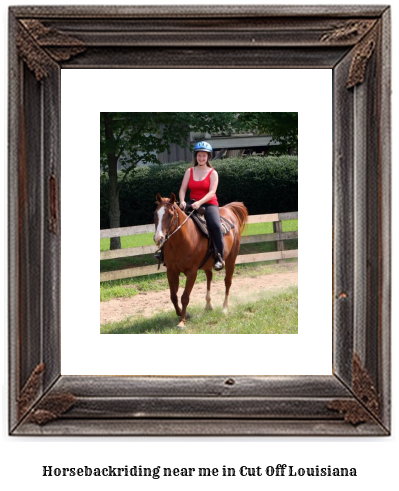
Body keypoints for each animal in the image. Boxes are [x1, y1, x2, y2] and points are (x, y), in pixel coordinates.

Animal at [155, 191, 248, 326]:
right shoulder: (171, 271)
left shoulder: (192, 272)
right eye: (155, 214)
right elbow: (173, 296)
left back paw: (225, 308)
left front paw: (182, 321)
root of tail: (228, 209)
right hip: (208, 264)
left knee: (228, 281)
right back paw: (208, 305)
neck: (182, 240)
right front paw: (183, 314)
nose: (159, 238)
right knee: (209, 277)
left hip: (231, 258)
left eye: (170, 214)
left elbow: (185, 297)